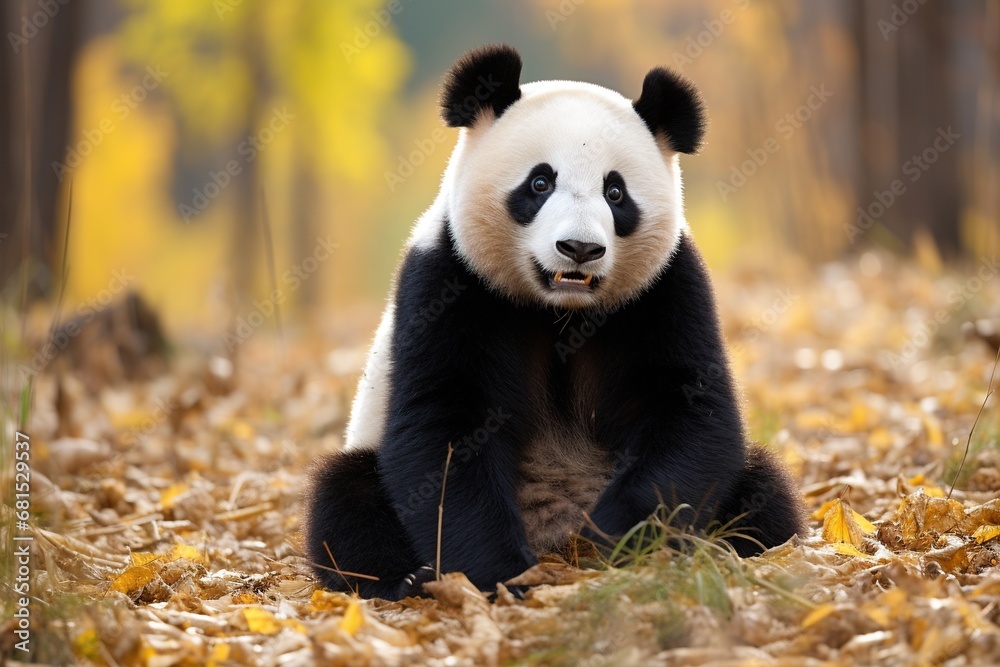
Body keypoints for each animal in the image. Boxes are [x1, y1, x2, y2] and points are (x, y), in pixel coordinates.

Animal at [305, 44, 803, 600]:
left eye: (615, 193)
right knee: (345, 500)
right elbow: (445, 423)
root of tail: (553, 534)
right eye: (540, 183)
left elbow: (689, 409)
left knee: (765, 491)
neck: (563, 311)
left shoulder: (667, 290)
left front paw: (619, 540)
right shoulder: (447, 281)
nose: (580, 248)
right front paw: (503, 574)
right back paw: (406, 580)